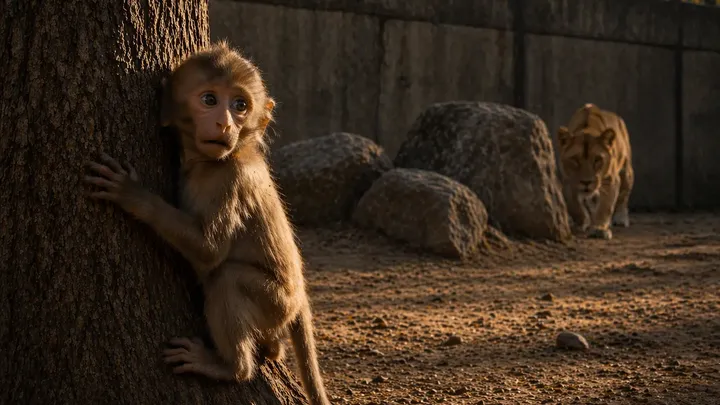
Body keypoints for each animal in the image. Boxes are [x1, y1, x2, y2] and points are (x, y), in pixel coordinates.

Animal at [83, 41, 331, 405]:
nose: (225, 124)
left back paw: (231, 368)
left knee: (227, 277)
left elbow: (210, 251)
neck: (213, 161)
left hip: (276, 302)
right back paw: (271, 348)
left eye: (240, 105)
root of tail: (299, 297)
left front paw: (133, 195)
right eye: (210, 100)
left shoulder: (228, 181)